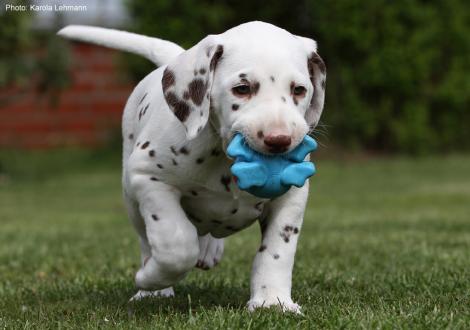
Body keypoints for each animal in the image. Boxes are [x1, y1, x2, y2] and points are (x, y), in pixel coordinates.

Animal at [57, 21, 324, 314]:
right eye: (242, 88)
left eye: (299, 90)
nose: (279, 140)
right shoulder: (149, 178)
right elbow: (176, 244)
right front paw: (150, 279)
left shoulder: (292, 195)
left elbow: (277, 252)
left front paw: (272, 301)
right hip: (131, 198)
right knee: (147, 240)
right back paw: (153, 289)